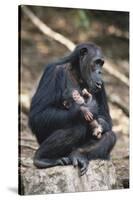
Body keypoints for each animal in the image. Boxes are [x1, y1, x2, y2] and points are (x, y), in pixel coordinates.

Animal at [28, 42, 116, 175]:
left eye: (101, 63)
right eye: (96, 62)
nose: (100, 71)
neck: (78, 73)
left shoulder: (102, 84)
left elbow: (106, 118)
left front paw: (99, 124)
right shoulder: (52, 72)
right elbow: (38, 114)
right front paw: (86, 108)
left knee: (110, 136)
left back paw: (78, 155)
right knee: (76, 127)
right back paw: (41, 158)